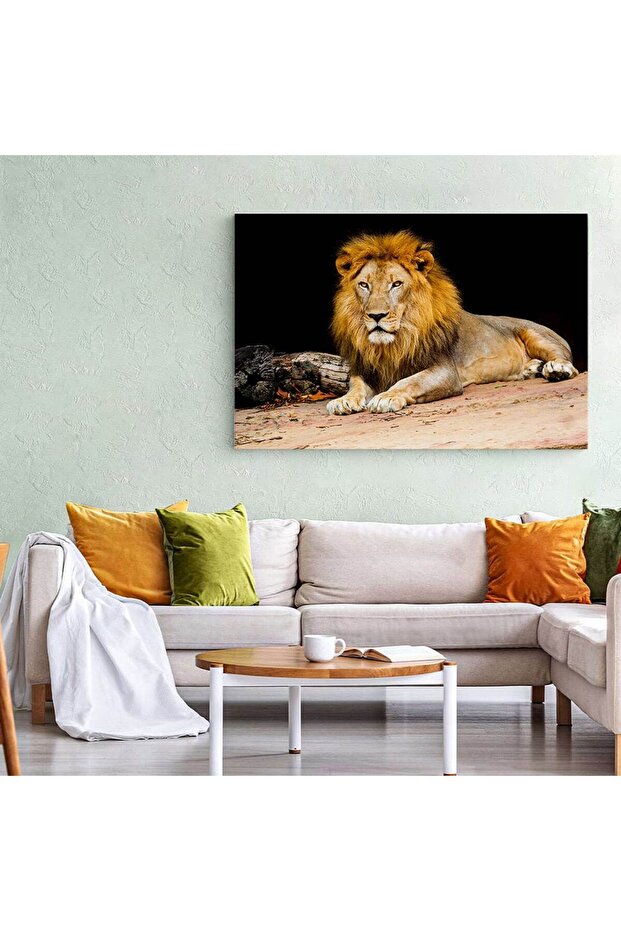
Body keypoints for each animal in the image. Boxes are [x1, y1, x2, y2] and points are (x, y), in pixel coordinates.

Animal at [326, 230, 578, 415]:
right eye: (364, 285)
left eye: (396, 284)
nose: (376, 316)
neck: (395, 342)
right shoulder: (366, 368)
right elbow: (355, 384)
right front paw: (344, 400)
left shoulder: (445, 371)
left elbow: (410, 381)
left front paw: (386, 397)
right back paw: (531, 369)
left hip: (536, 335)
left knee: (566, 359)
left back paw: (556, 369)